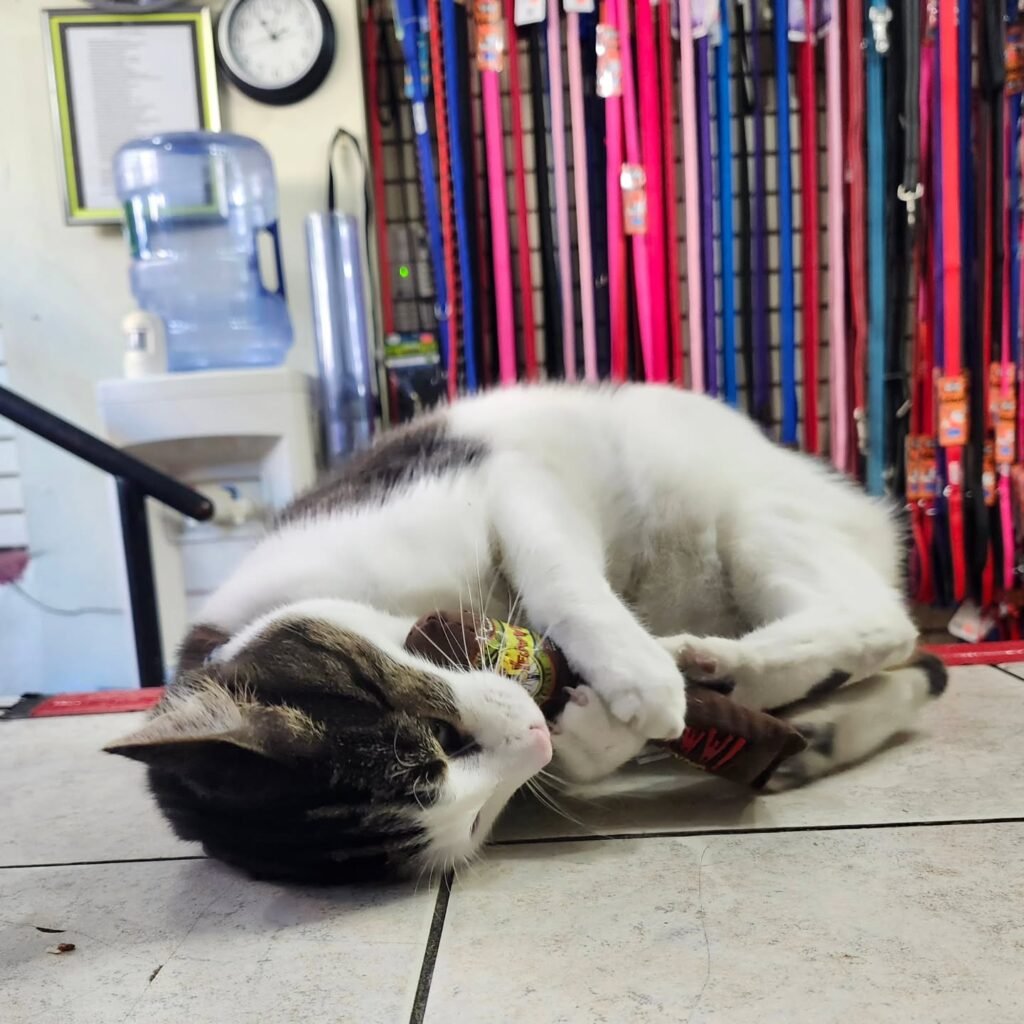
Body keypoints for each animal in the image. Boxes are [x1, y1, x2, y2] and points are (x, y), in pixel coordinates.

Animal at [106, 384, 946, 884]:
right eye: (474, 822)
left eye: (434, 726)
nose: (532, 730)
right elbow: (581, 751)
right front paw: (592, 734)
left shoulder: (504, 480)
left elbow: (561, 573)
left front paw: (636, 677)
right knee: (893, 656)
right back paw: (766, 696)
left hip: (750, 515)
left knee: (886, 624)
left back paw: (709, 659)